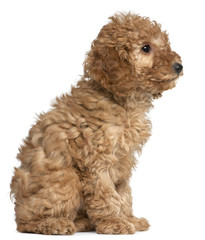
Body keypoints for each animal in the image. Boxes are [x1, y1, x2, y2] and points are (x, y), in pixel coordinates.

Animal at [10, 11, 183, 234]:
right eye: (146, 48)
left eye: (164, 44)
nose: (179, 66)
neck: (123, 101)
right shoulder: (95, 158)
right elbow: (105, 193)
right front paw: (114, 221)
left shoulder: (123, 160)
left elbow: (123, 193)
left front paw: (129, 218)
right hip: (67, 178)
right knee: (25, 222)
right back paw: (55, 223)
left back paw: (82, 222)